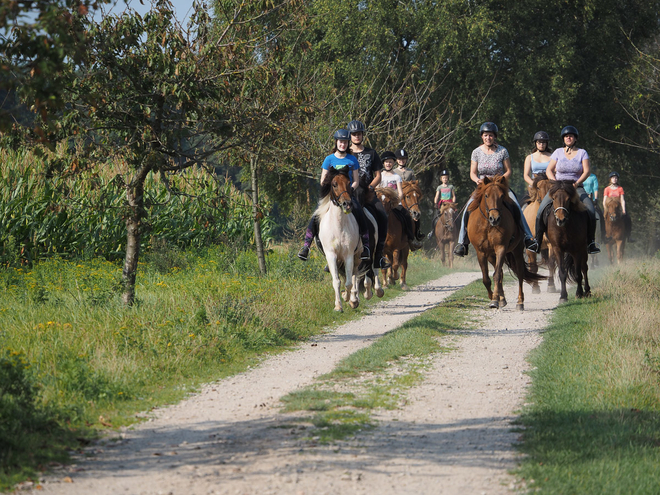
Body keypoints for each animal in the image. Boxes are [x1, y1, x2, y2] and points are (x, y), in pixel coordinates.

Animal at [464, 176, 548, 310]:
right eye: (486, 195)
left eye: (502, 196)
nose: (495, 218)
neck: (488, 225)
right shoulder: (481, 252)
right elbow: (486, 278)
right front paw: (493, 297)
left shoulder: (501, 248)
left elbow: (497, 275)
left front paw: (494, 300)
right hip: (491, 256)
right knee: (501, 273)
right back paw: (502, 299)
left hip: (516, 250)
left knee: (519, 273)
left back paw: (519, 302)